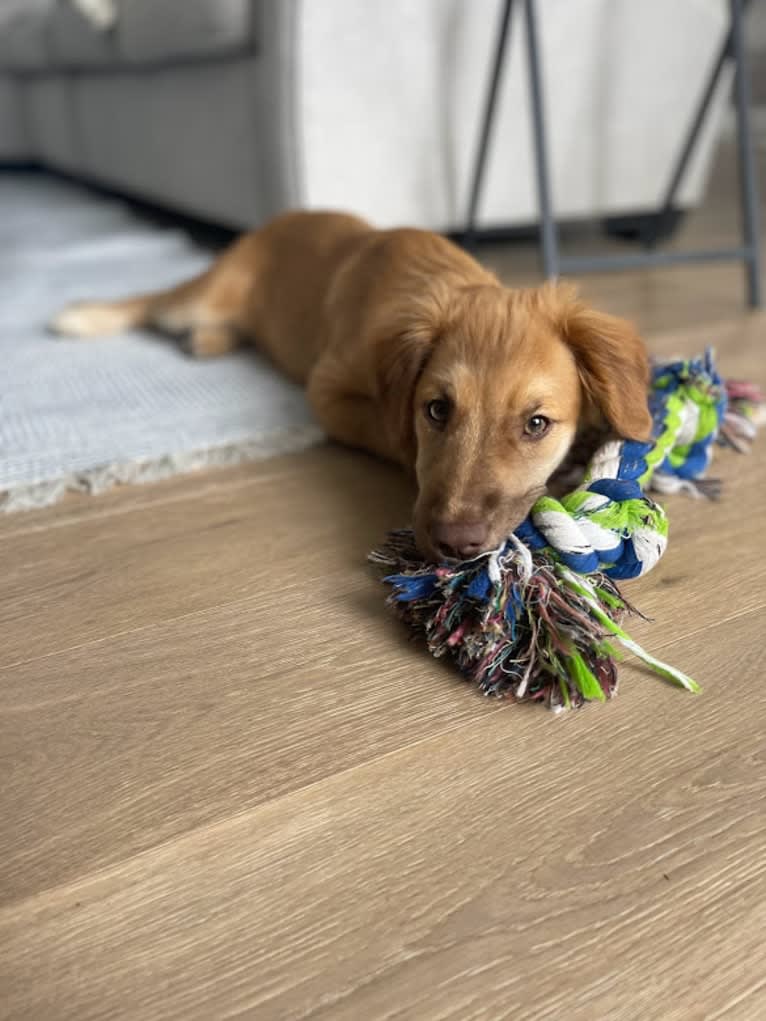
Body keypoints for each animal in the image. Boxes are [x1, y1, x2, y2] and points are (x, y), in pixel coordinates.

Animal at [52, 208, 653, 559]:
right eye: (436, 411)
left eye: (536, 424)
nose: (455, 546)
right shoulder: (328, 392)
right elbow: (391, 433)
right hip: (201, 296)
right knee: (154, 303)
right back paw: (87, 318)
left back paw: (210, 340)